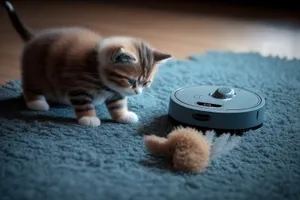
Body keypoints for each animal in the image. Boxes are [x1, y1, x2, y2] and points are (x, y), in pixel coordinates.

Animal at [2, 0, 172, 126]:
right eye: (131, 81)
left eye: (146, 83)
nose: (137, 92)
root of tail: (34, 37)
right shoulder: (77, 85)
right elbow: (83, 102)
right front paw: (88, 118)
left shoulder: (115, 91)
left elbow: (118, 103)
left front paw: (123, 115)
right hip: (35, 71)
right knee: (29, 86)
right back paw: (36, 102)